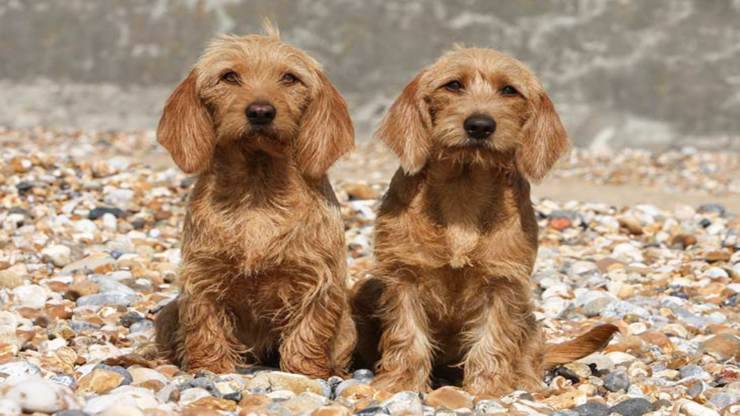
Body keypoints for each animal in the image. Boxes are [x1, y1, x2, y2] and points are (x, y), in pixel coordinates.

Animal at [155, 24, 356, 378]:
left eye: (289, 78)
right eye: (229, 76)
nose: (261, 112)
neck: (257, 194)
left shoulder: (319, 279)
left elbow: (310, 330)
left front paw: (306, 371)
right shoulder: (202, 276)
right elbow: (205, 326)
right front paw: (210, 367)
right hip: (168, 312)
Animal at [350, 48, 616, 396]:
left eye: (509, 90)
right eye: (453, 85)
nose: (479, 125)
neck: (464, 189)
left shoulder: (502, 283)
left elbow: (493, 339)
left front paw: (488, 389)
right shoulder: (403, 277)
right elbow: (407, 335)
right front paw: (401, 382)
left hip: (528, 317)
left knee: (531, 351)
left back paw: (526, 383)